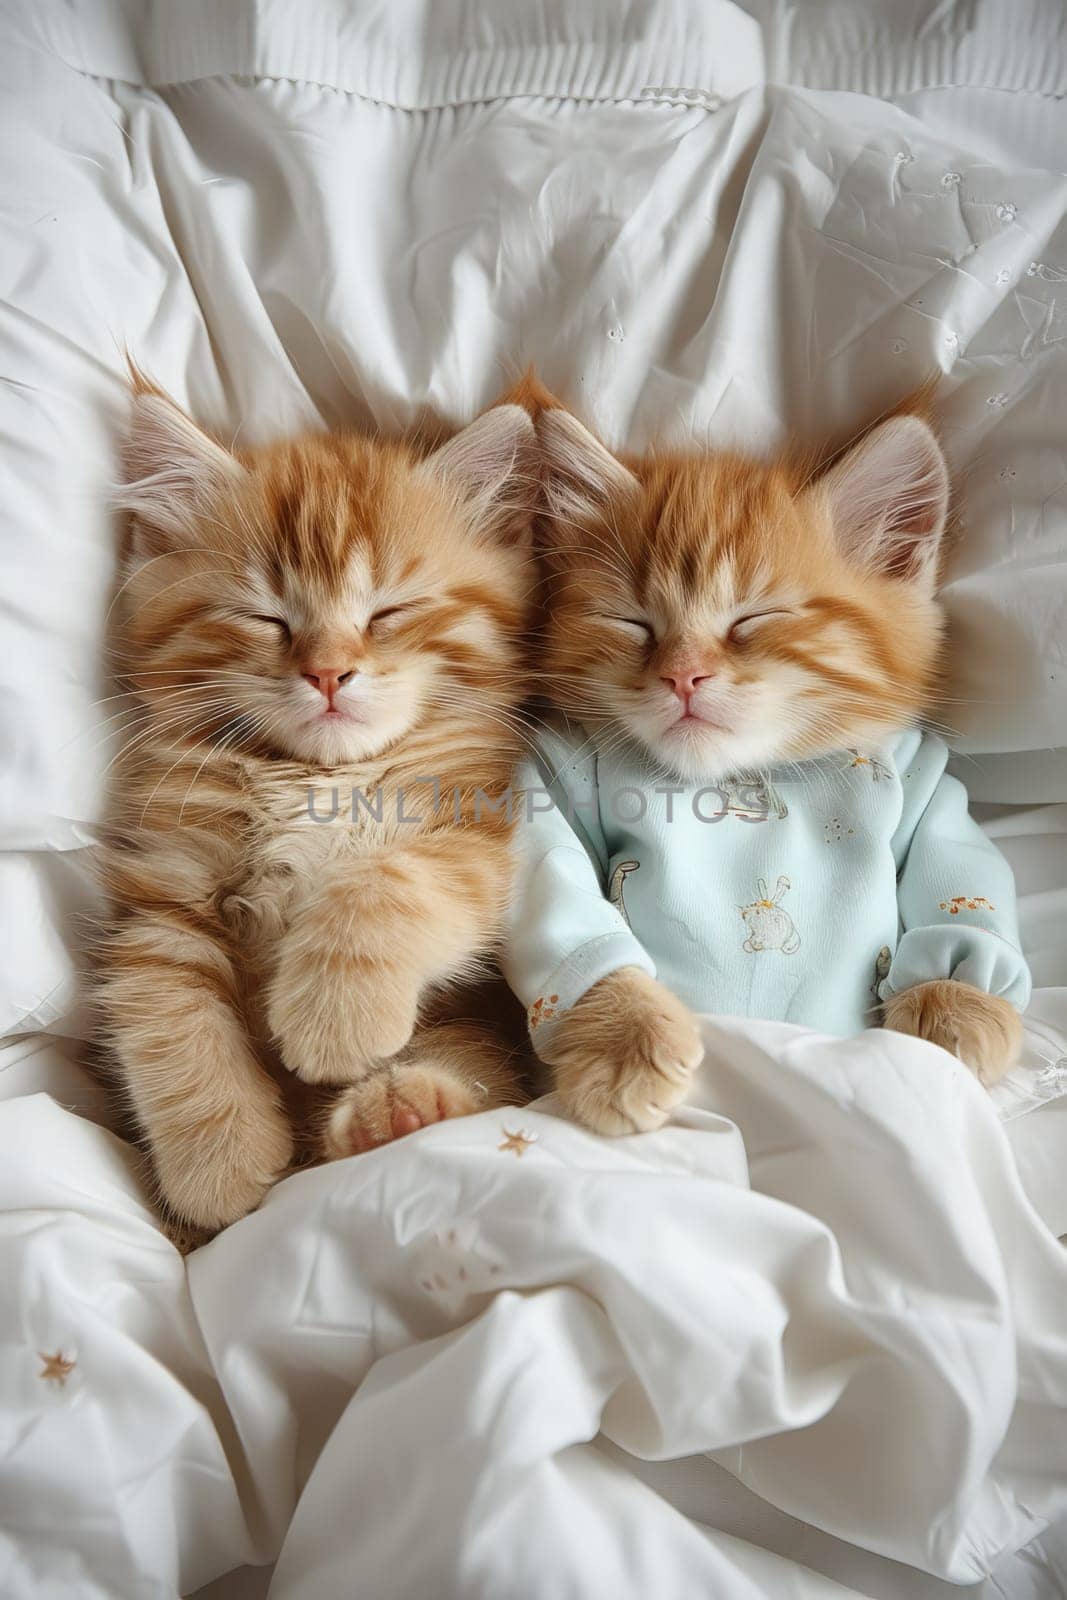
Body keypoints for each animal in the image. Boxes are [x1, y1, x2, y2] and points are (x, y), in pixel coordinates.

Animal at [94, 377, 534, 1235]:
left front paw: (331, 1020)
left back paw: (400, 1108)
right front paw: (219, 1165)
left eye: (388, 612)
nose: (328, 673)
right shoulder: (165, 894)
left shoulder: (474, 831)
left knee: (478, 1075)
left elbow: (385, 882)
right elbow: (166, 1009)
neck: (313, 778)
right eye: (264, 617)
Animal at [505, 400, 1030, 1132]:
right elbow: (557, 888)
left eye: (753, 620)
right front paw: (624, 1039)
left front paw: (956, 1005)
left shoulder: (925, 777)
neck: (737, 776)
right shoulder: (558, 776)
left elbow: (959, 872)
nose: (683, 676)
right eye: (633, 624)